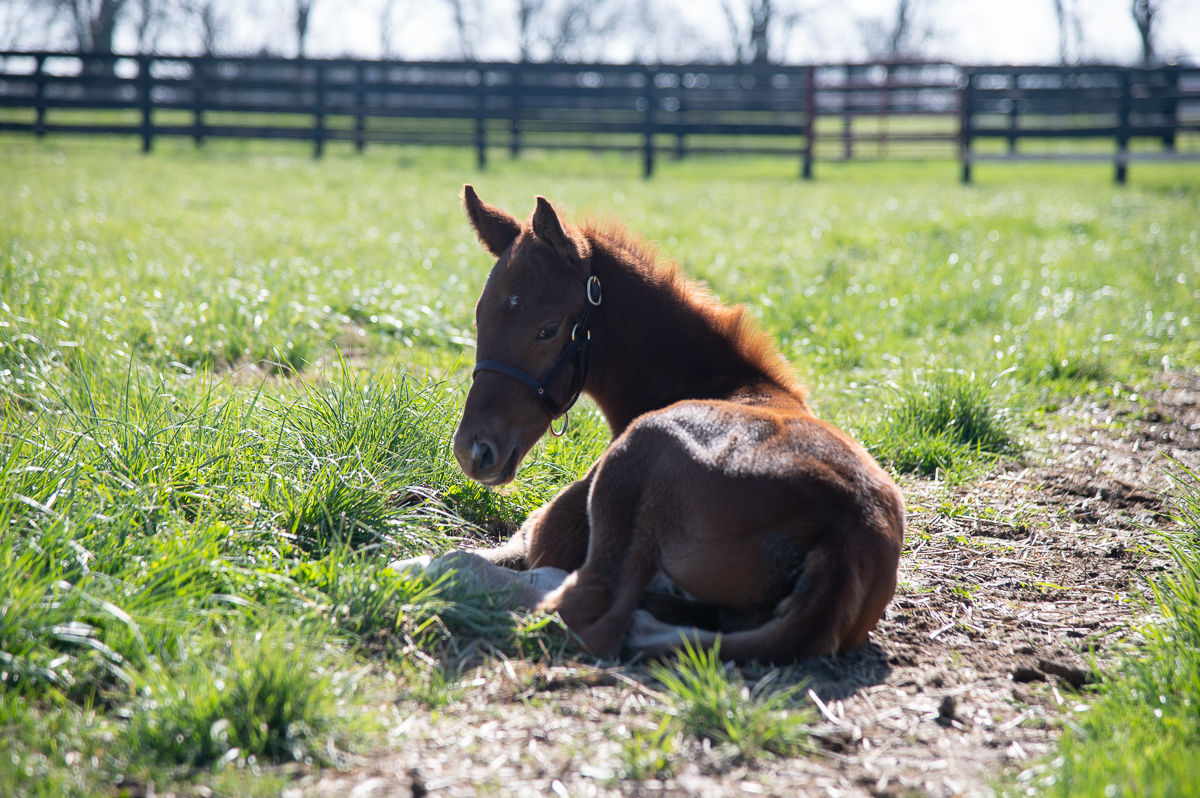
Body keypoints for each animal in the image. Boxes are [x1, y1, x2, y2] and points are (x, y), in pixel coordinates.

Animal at [403, 186, 905, 664]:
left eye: (548, 328)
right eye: (479, 315)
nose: (474, 450)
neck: (718, 381)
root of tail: (847, 534)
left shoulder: (544, 534)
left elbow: (472, 556)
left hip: (637, 456)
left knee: (583, 610)